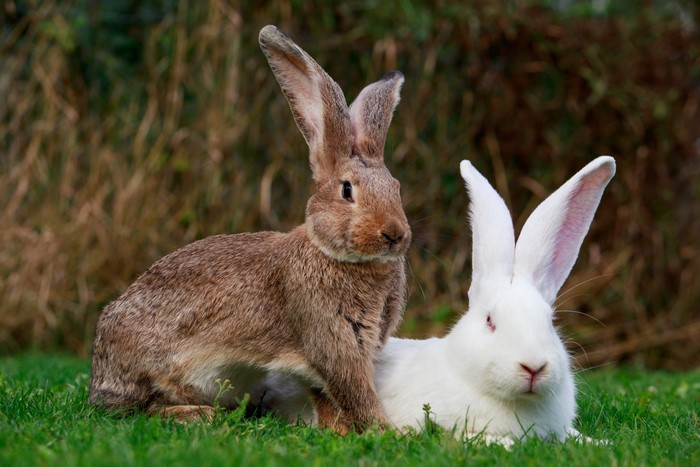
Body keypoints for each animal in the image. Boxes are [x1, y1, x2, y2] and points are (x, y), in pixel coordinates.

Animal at [88, 25, 411, 433]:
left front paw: (338, 432)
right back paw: (203, 415)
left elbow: (329, 399)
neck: (336, 254)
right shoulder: (332, 340)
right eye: (347, 191)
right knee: (142, 409)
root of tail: (100, 376)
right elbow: (356, 393)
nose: (394, 234)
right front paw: (389, 432)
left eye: (396, 188)